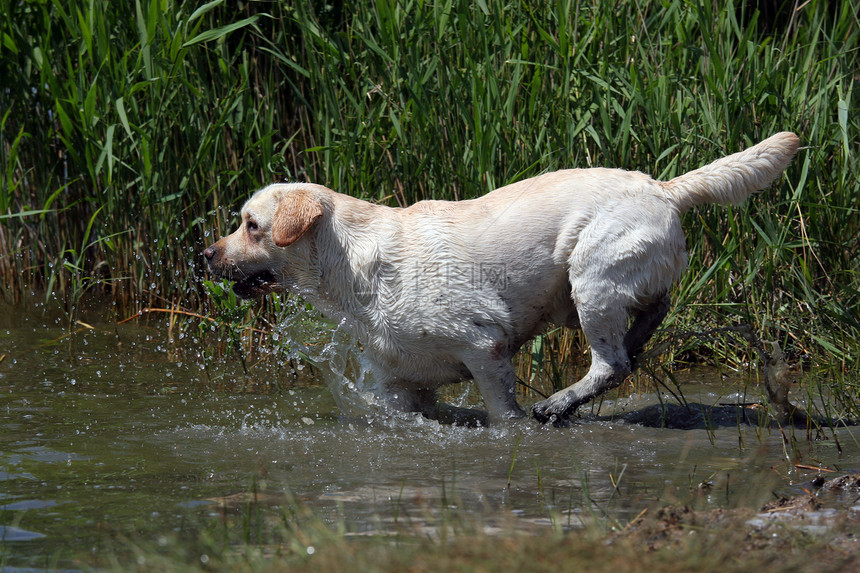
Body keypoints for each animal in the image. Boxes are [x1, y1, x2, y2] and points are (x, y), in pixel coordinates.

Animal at [207, 132, 800, 422]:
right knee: (644, 329)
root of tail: (664, 187)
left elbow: (502, 414)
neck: (354, 268)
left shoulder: (484, 346)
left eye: (251, 225)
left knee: (610, 364)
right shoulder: (396, 385)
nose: (203, 256)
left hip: (591, 277)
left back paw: (558, 404)